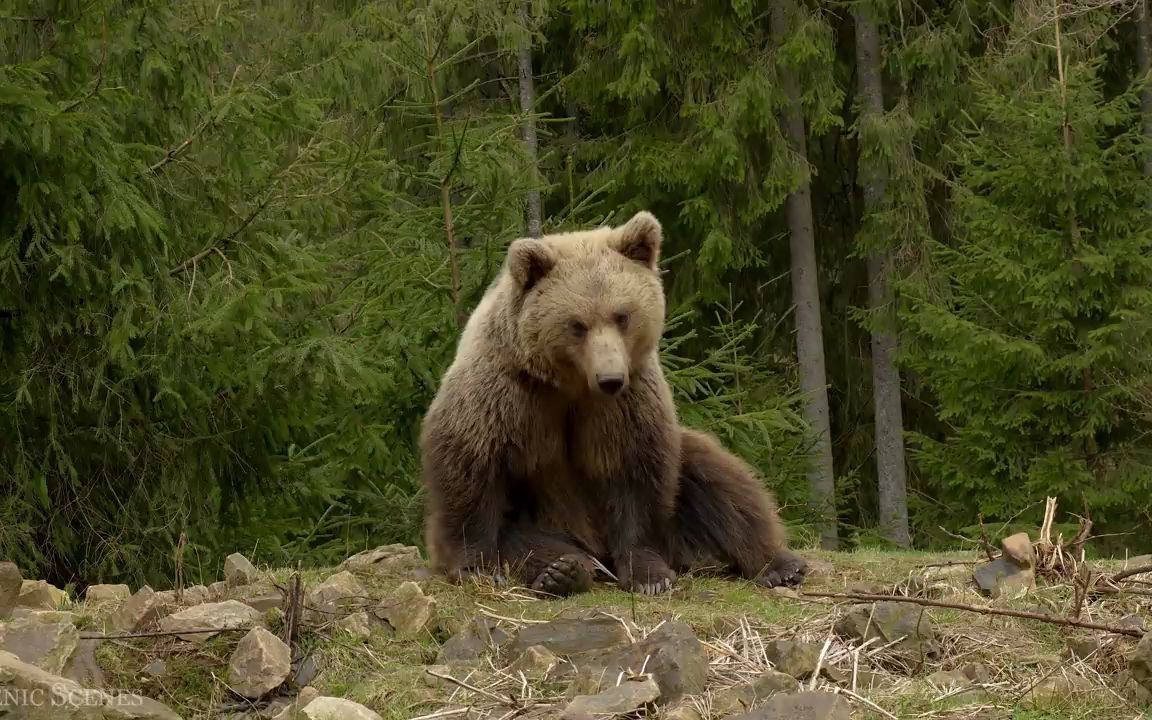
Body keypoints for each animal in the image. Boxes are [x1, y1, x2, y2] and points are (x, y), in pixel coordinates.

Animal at [419, 210, 806, 594]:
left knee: (720, 484)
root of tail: (596, 548)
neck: (570, 385)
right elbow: (473, 465)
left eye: (622, 315)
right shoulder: (508, 391)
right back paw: (562, 570)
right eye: (577, 324)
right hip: (543, 519)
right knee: (523, 542)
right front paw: (473, 567)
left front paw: (650, 575)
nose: (610, 379)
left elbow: (636, 473)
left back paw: (779, 565)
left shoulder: (626, 402)